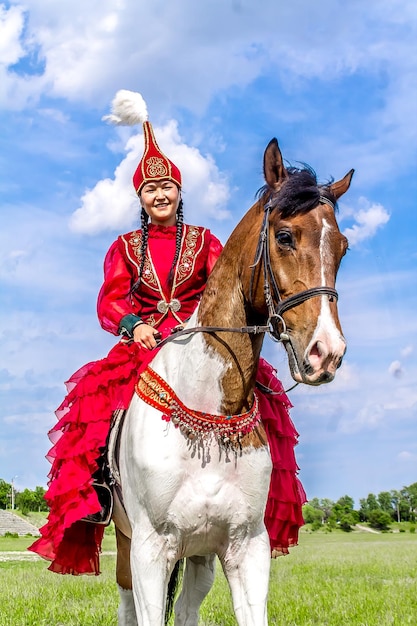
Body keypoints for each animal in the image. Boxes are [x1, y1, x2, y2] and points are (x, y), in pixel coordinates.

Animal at [109, 138, 352, 624]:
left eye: (343, 247)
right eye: (284, 236)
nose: (327, 352)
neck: (209, 410)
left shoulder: (246, 546)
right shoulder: (149, 549)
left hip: (200, 553)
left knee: (187, 608)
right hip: (128, 548)